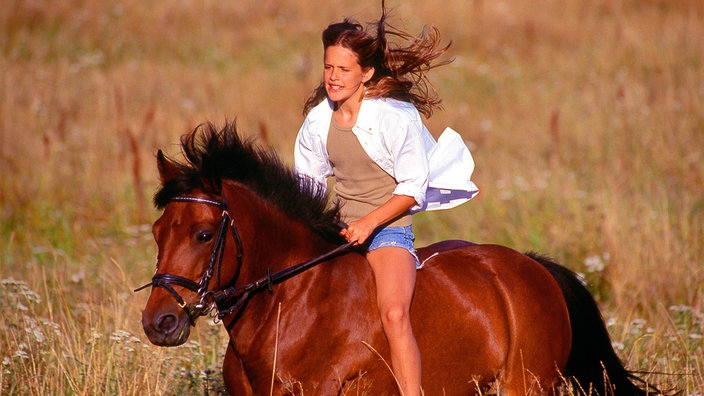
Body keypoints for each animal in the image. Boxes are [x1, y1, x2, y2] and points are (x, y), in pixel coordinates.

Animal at [136, 121, 660, 396]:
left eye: (204, 234)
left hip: (525, 386)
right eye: (158, 233)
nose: (159, 323)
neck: (292, 308)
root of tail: (532, 267)